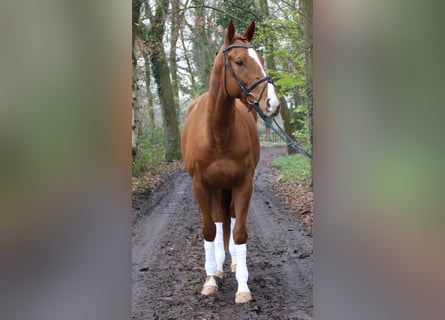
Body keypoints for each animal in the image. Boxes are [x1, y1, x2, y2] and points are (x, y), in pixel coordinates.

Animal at [180, 20, 278, 302]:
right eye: (239, 61)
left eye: (262, 59)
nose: (272, 103)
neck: (217, 134)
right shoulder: (201, 185)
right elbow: (209, 230)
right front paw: (210, 280)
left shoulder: (243, 184)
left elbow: (239, 231)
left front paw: (243, 287)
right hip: (215, 188)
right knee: (216, 221)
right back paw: (218, 267)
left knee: (231, 219)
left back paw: (232, 263)